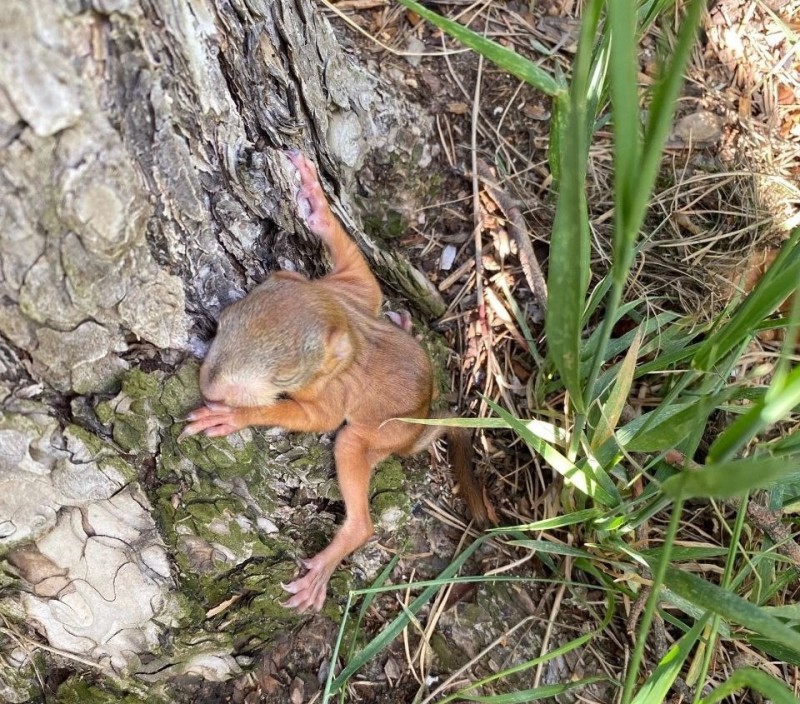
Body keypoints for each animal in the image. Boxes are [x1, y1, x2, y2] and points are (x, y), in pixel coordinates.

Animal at [181, 151, 484, 612]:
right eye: (224, 320)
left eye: (285, 374)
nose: (212, 388)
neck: (344, 326)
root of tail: (417, 429)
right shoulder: (348, 292)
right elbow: (362, 272)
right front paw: (315, 199)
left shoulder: (333, 391)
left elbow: (313, 419)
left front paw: (231, 416)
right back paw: (403, 324)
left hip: (368, 437)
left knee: (360, 517)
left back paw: (322, 569)